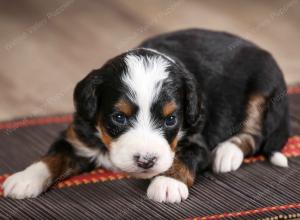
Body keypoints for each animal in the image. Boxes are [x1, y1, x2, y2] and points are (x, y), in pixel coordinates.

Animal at [1, 28, 290, 203]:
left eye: (171, 119)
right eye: (119, 118)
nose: (146, 161)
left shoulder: (197, 139)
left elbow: (184, 157)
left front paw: (167, 183)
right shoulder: (78, 136)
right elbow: (53, 156)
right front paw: (24, 178)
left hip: (264, 89)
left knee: (255, 134)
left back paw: (227, 153)